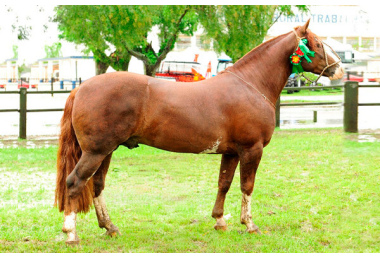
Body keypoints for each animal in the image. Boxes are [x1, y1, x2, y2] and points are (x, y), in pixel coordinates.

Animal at [54, 19, 344, 244]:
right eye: (317, 44)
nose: (340, 69)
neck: (250, 84)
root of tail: (82, 88)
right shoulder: (252, 149)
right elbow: (247, 186)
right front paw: (249, 224)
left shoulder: (231, 152)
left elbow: (224, 183)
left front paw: (219, 221)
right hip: (95, 152)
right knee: (75, 182)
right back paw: (71, 234)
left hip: (106, 151)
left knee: (97, 186)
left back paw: (110, 227)